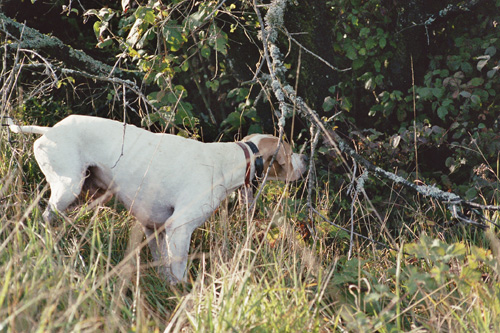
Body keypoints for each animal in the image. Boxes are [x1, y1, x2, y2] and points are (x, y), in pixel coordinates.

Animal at [5, 115, 306, 282]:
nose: (304, 160)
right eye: (290, 152)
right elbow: (178, 270)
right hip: (68, 189)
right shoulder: (179, 228)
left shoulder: (156, 228)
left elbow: (163, 266)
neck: (231, 160)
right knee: (44, 219)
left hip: (85, 192)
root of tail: (48, 131)